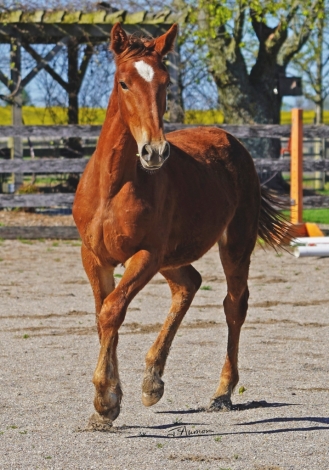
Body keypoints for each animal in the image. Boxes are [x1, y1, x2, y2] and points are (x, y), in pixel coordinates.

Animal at [72, 23, 288, 432]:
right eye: (123, 82)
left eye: (166, 82)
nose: (154, 152)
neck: (113, 187)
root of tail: (233, 142)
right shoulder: (94, 257)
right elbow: (102, 314)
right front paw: (110, 401)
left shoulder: (145, 255)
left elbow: (112, 311)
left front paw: (105, 400)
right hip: (172, 258)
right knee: (189, 284)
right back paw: (152, 380)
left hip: (234, 244)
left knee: (234, 305)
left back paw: (222, 392)